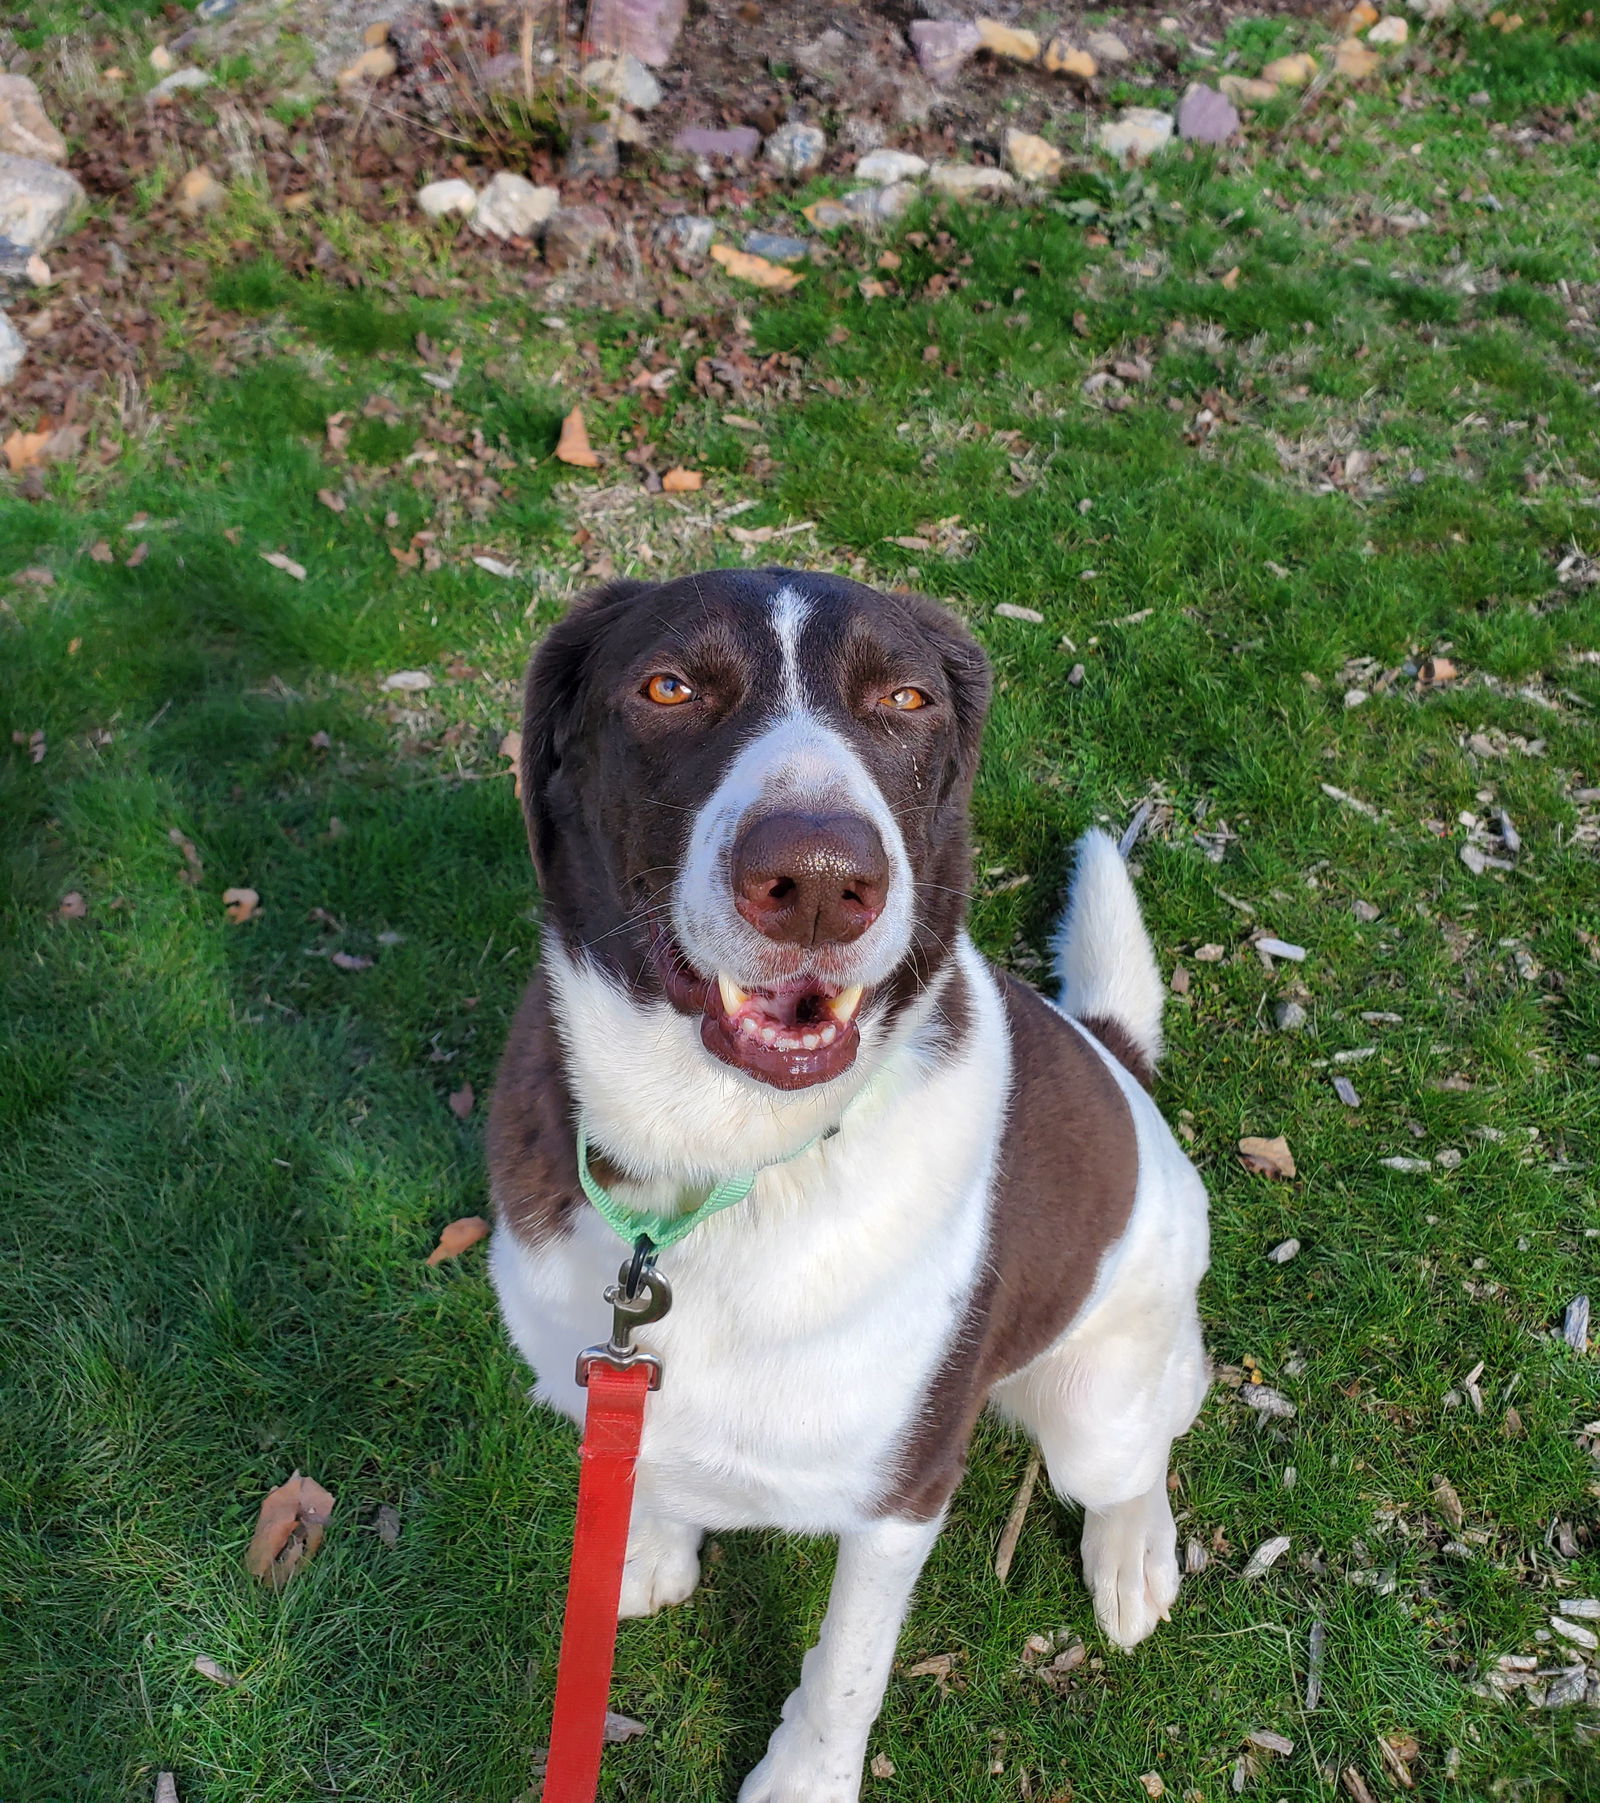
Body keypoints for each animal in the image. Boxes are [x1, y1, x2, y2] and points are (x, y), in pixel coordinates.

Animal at [487, 566, 1212, 1803]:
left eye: (907, 697)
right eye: (668, 686)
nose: (820, 882)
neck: (720, 1168)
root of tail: (1118, 1065)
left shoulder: (901, 1495)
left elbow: (844, 1670)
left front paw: (800, 1783)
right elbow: (663, 1468)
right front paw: (648, 1546)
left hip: (1098, 1399)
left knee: (1151, 1435)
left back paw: (1132, 1555)